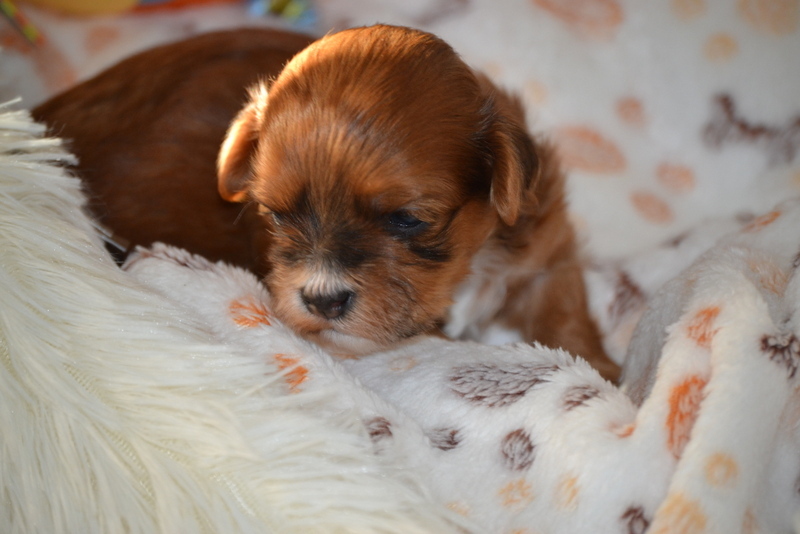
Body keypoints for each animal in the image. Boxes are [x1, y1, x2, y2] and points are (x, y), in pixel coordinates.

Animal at [33, 25, 620, 381]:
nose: (322, 299)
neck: (473, 260)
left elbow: (566, 316)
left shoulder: (545, 253)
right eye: (276, 215)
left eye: (408, 219)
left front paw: (607, 374)